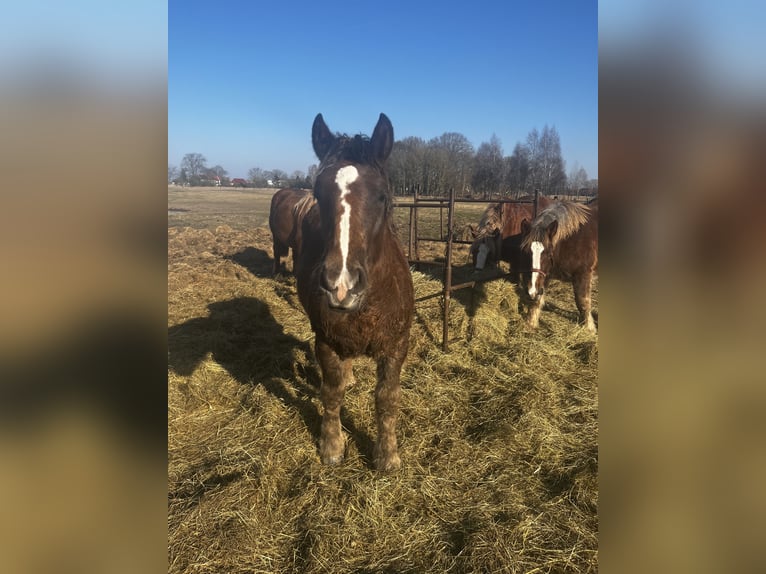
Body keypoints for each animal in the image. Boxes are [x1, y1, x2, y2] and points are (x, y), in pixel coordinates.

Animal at [296, 113, 414, 472]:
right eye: (318, 194)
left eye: (381, 196)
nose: (341, 284)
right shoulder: (326, 342)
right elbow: (331, 394)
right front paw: (332, 447)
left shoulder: (397, 345)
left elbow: (387, 398)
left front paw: (387, 455)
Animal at [520, 200, 600, 332]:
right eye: (525, 252)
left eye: (548, 253)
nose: (531, 291)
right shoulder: (545, 275)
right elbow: (538, 300)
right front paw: (530, 323)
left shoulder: (583, 274)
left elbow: (582, 302)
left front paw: (589, 329)